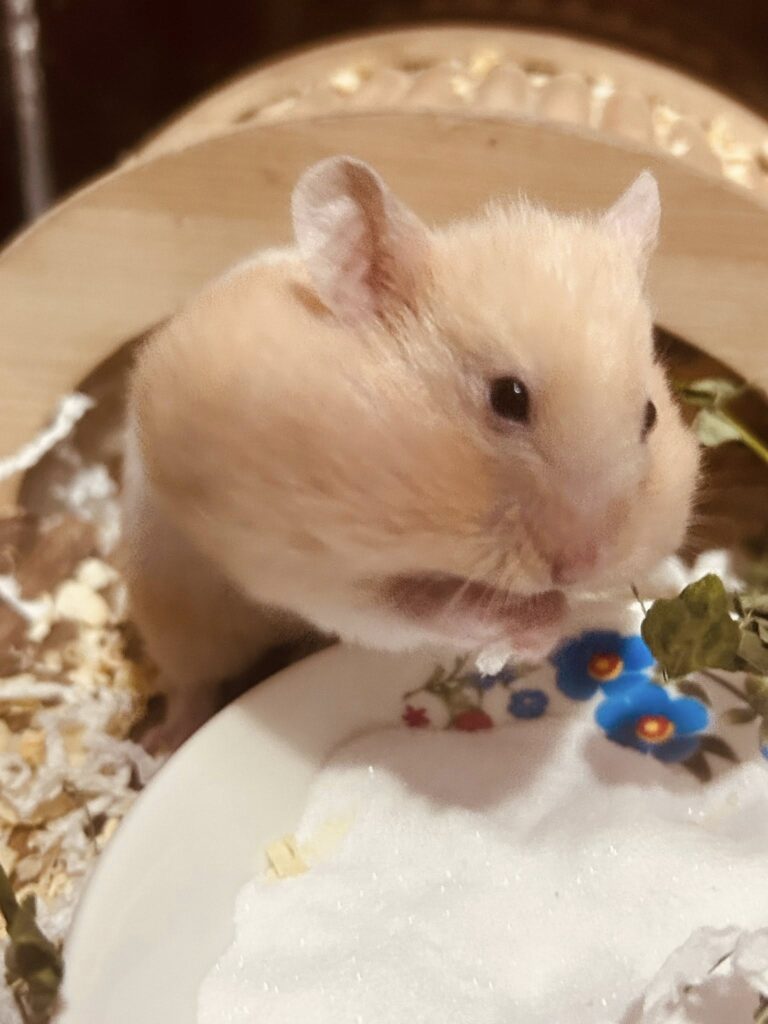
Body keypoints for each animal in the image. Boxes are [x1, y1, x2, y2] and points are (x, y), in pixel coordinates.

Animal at [121, 155, 699, 750]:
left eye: (650, 416)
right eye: (508, 398)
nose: (580, 568)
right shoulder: (299, 565)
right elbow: (417, 609)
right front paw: (538, 624)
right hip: (176, 608)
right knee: (190, 681)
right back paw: (161, 742)